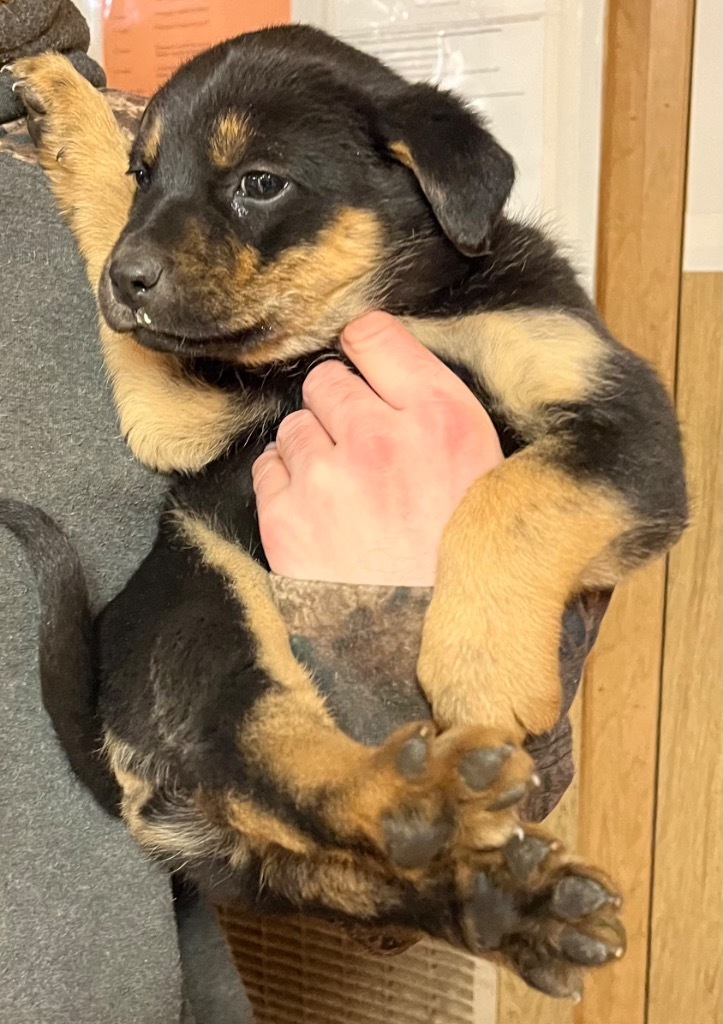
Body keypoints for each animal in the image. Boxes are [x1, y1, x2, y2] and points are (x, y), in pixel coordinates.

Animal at [2, 25, 684, 999]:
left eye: (259, 183)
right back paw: (432, 804)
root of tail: (120, 756)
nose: (121, 281)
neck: (395, 304)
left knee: (349, 863)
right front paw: (69, 108)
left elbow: (509, 496)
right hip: (212, 606)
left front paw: (484, 678)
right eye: (145, 173)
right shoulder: (185, 413)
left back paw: (512, 902)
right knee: (281, 758)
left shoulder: (628, 427)